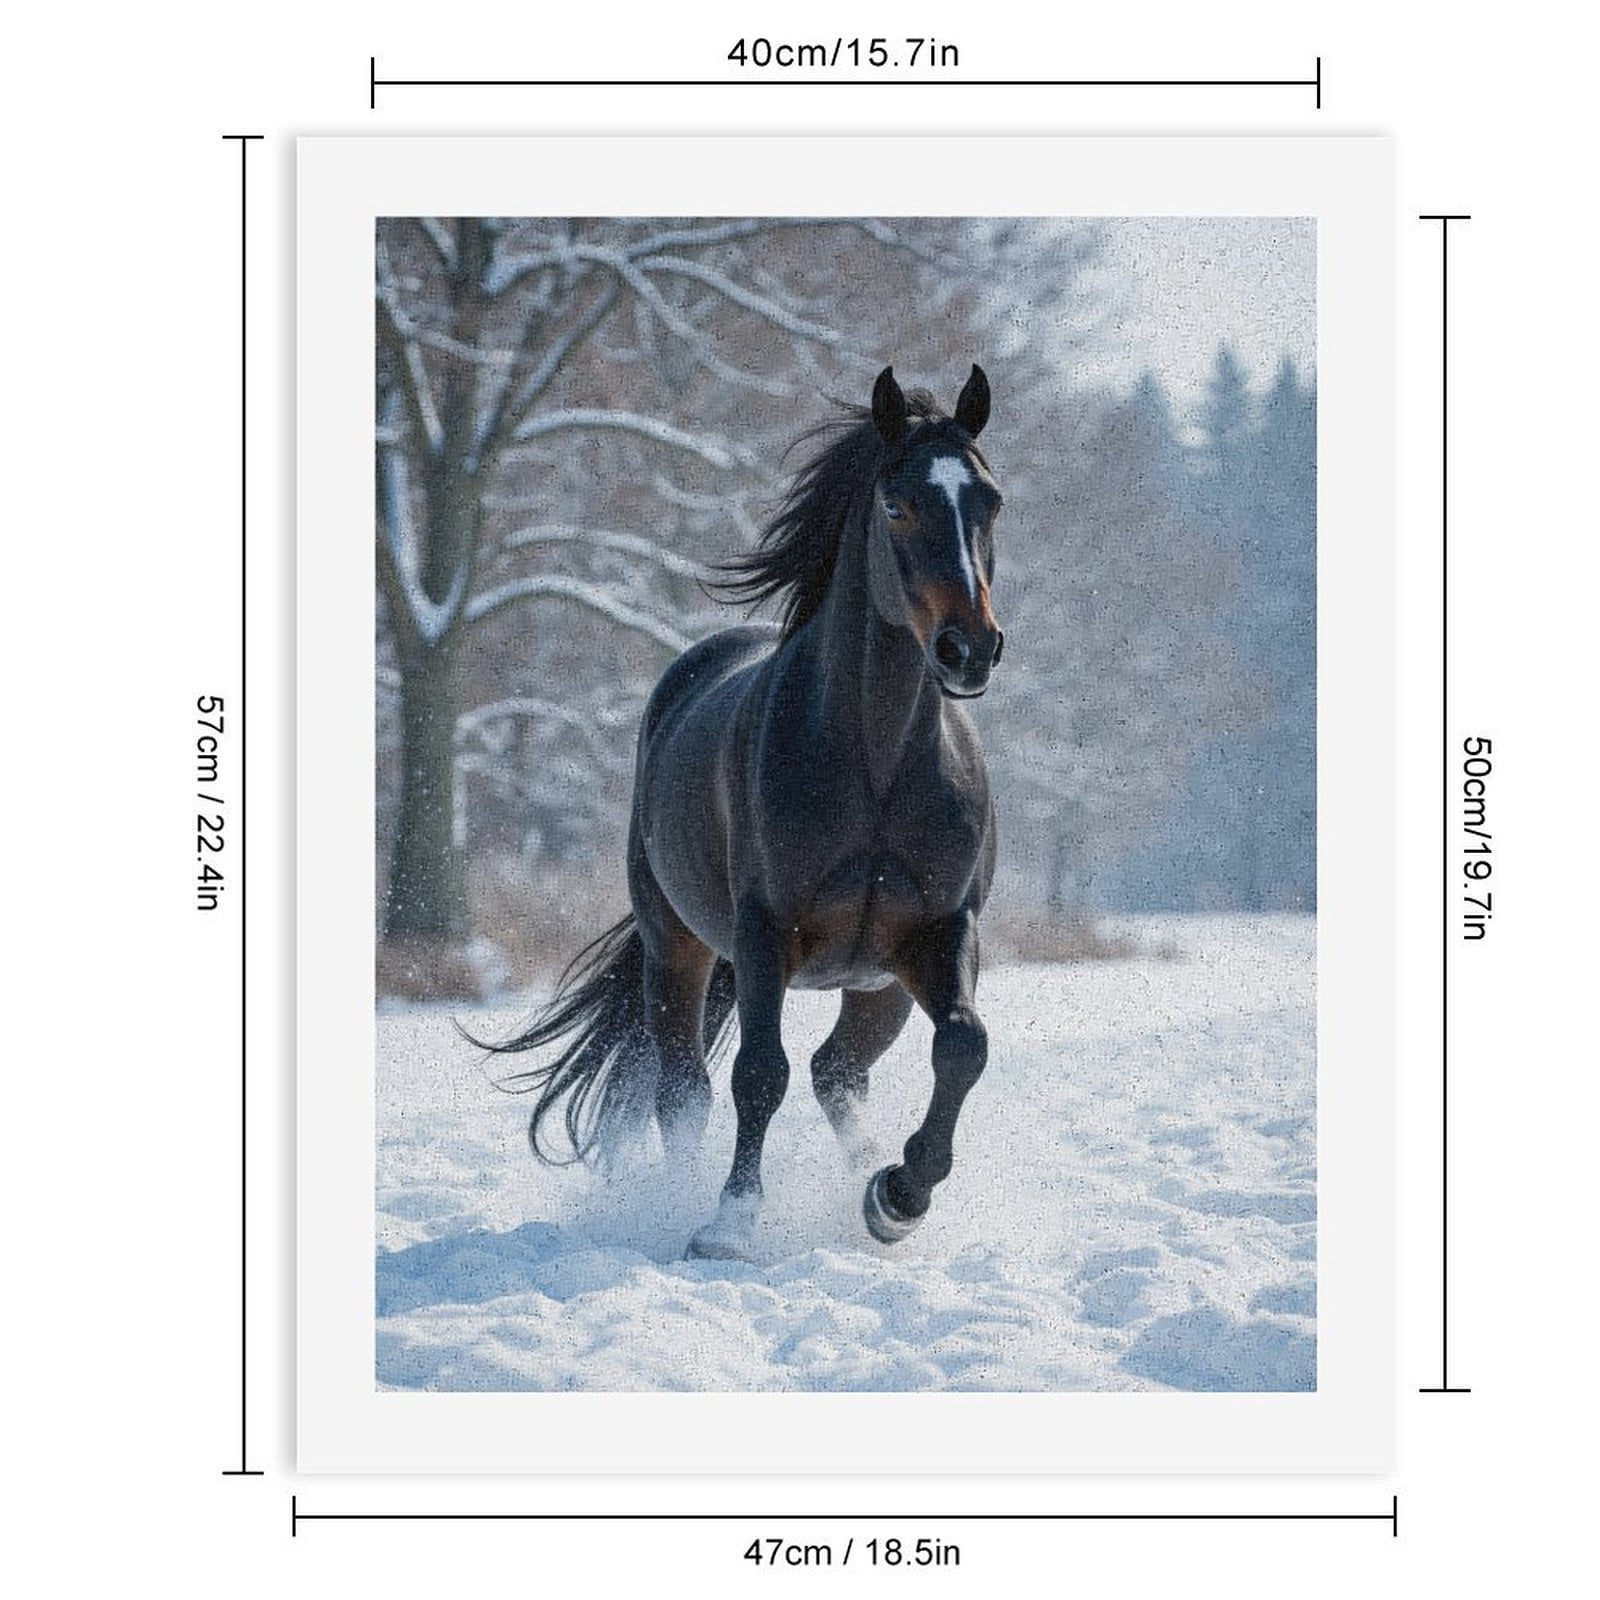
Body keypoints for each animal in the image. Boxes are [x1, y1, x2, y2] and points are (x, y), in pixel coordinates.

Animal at [484, 364, 1006, 1260]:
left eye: (991, 501)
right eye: (897, 503)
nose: (968, 650)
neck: (874, 768)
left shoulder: (939, 932)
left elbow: (963, 1047)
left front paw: (898, 1196)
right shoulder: (766, 932)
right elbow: (759, 1073)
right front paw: (728, 1223)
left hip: (880, 982)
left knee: (839, 1072)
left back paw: (868, 1177)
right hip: (679, 947)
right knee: (685, 1086)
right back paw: (679, 1200)